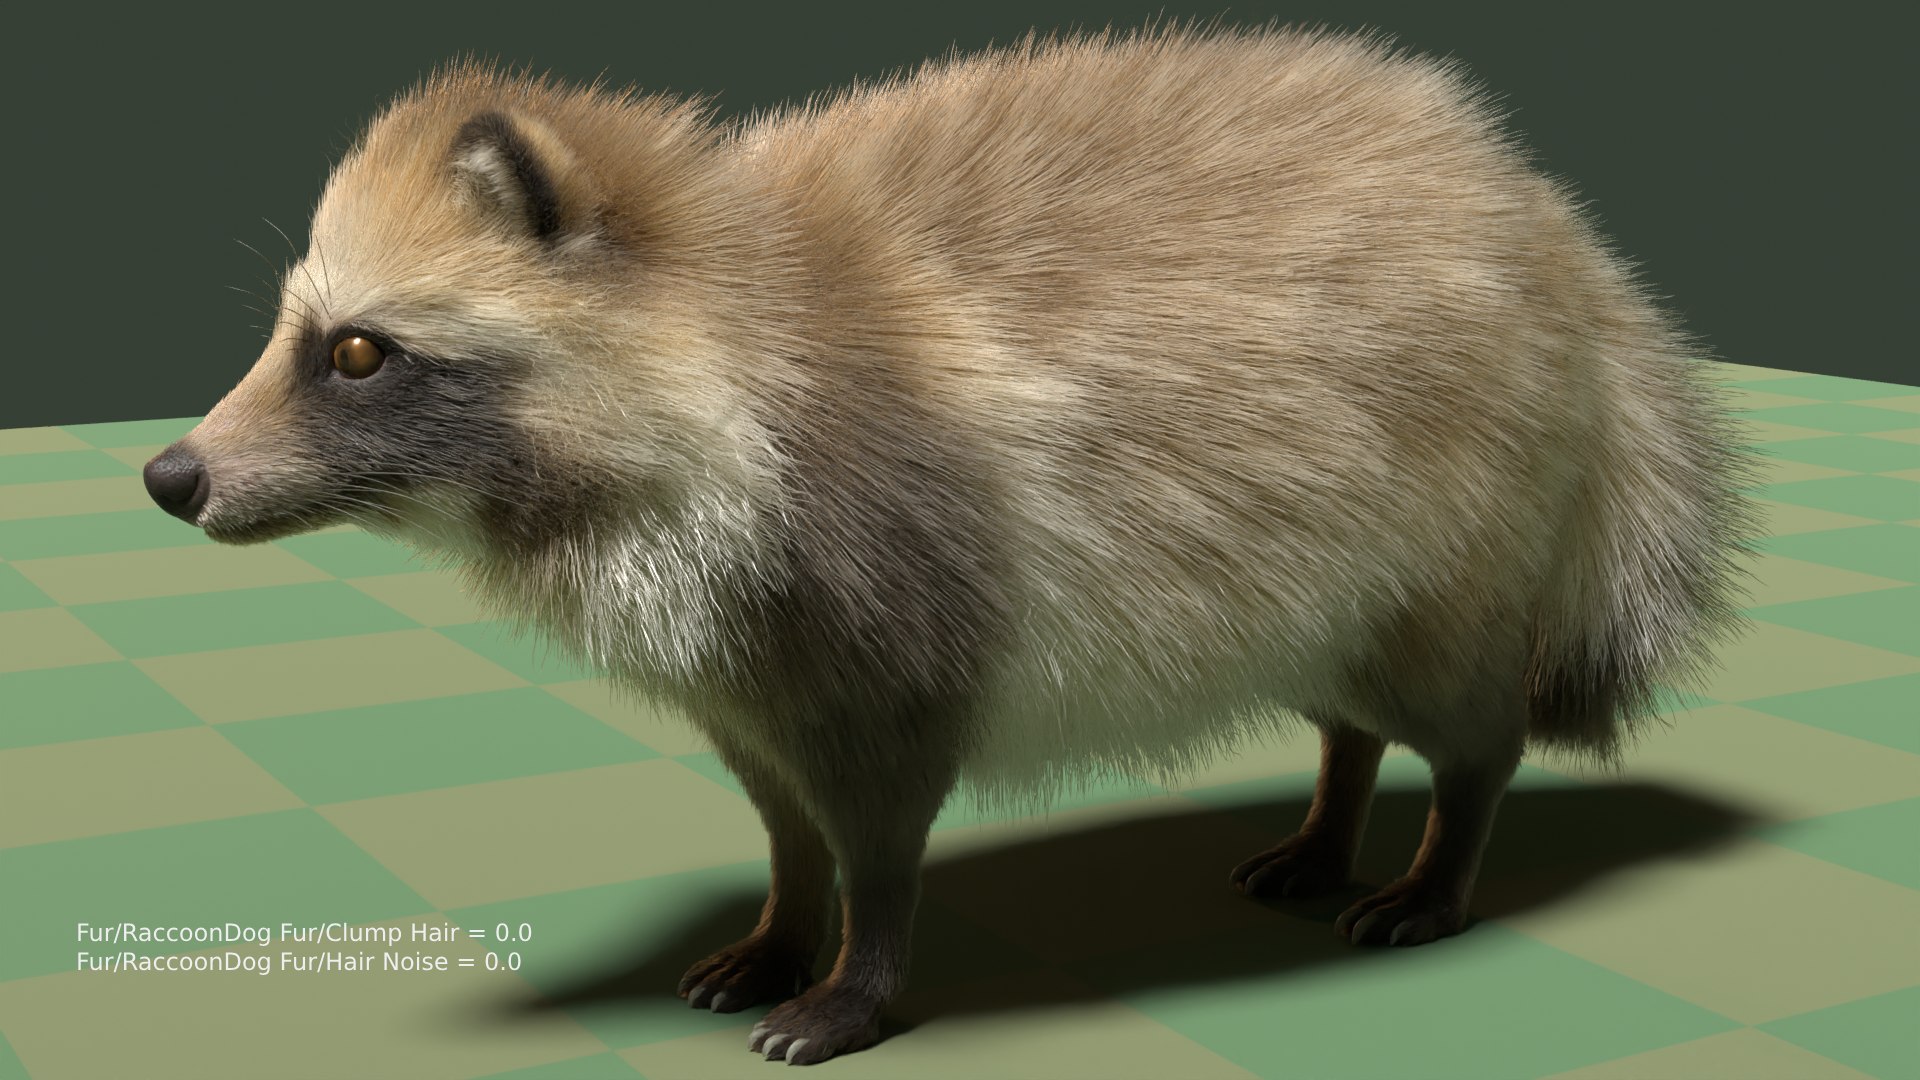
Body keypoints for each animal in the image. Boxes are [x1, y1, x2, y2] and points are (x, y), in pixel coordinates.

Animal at [145, 22, 1757, 1065]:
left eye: (357, 351)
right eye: (294, 332)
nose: (171, 475)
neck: (733, 317)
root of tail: (1544, 222)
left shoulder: (883, 584)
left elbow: (879, 832)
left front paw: (855, 980)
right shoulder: (743, 657)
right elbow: (785, 821)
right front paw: (781, 924)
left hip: (1442, 529)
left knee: (1468, 724)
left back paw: (1437, 862)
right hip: (1312, 569)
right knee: (1345, 711)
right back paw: (1326, 818)